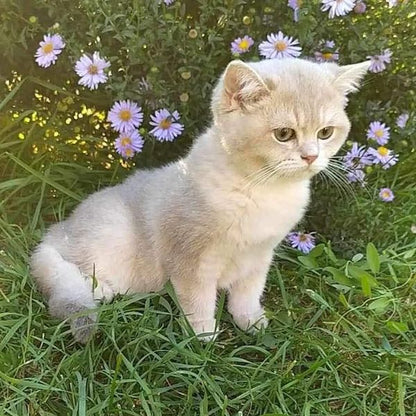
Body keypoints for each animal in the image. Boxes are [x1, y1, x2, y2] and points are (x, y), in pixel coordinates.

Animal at [30, 59, 368, 344]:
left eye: (326, 132)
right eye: (284, 134)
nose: (311, 156)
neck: (259, 189)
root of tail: (56, 232)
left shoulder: (260, 256)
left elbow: (248, 292)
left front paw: (249, 320)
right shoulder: (190, 258)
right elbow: (198, 298)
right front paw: (203, 334)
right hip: (113, 233)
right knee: (71, 270)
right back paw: (101, 289)